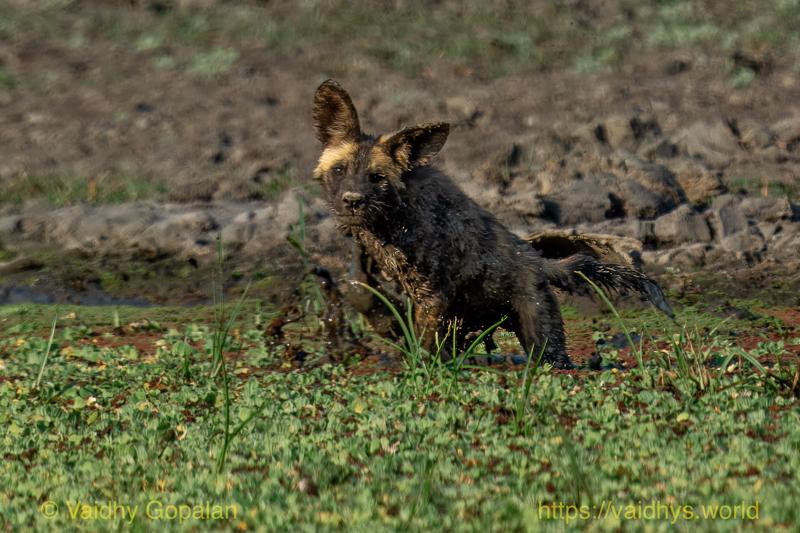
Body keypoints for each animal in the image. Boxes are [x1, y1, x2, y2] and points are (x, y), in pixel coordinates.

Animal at [312, 80, 673, 368]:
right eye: (340, 170)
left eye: (377, 178)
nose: (352, 200)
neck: (391, 219)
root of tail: (538, 262)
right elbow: (364, 293)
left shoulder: (433, 294)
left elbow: (424, 344)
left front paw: (417, 366)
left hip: (540, 333)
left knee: (556, 360)